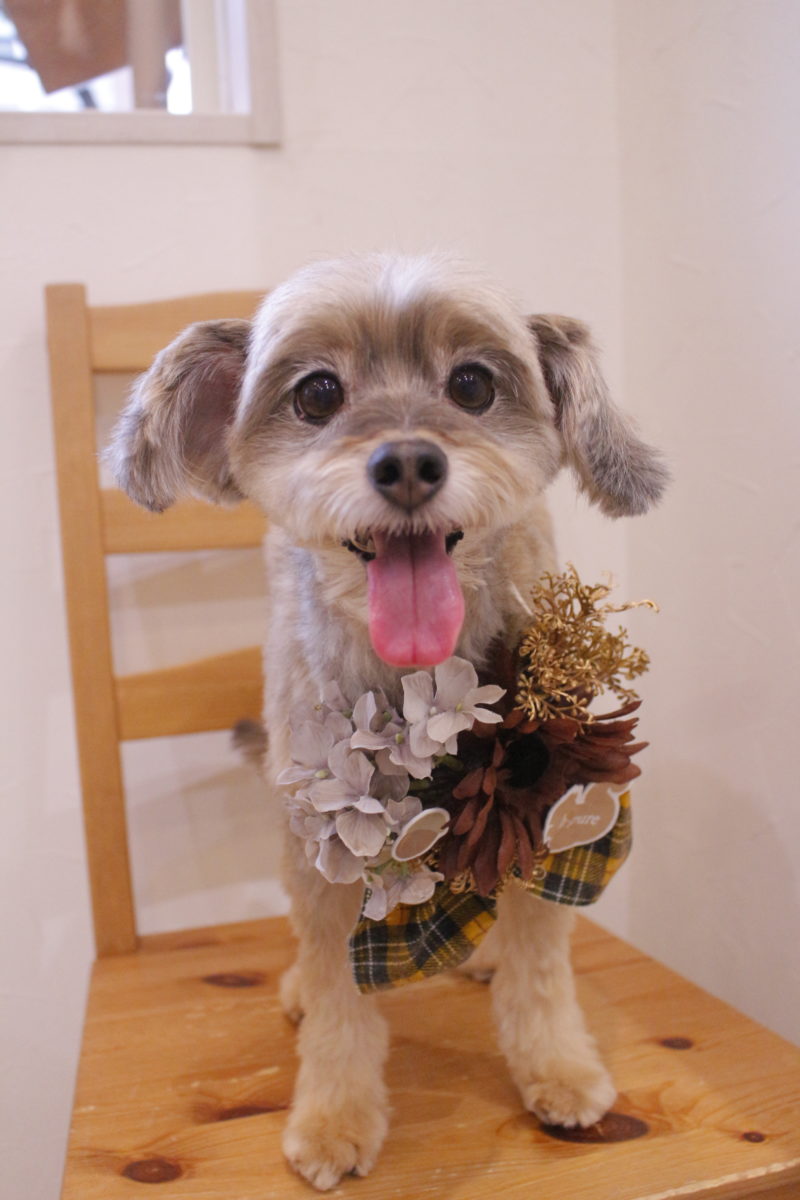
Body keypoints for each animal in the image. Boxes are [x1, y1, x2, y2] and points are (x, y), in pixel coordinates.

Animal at [109, 252, 667, 1190]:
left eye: (473, 384)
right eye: (316, 394)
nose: (407, 460)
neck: (414, 680)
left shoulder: (557, 807)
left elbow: (541, 967)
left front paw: (558, 1068)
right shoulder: (326, 845)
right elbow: (341, 993)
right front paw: (334, 1119)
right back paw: (300, 987)